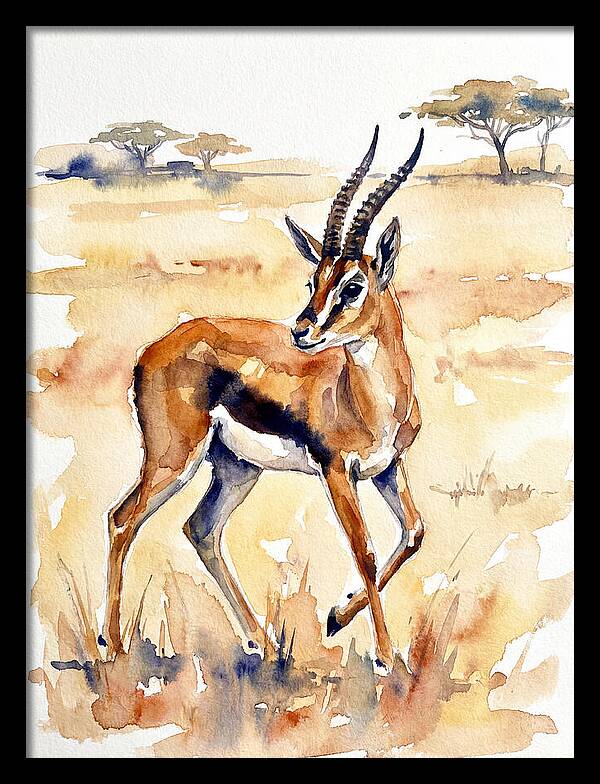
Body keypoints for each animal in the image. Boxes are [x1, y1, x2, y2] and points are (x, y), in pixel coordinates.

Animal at [104, 126, 426, 670]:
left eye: (352, 285)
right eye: (314, 279)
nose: (301, 331)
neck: (371, 400)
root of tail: (152, 349)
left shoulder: (386, 467)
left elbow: (414, 533)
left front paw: (336, 617)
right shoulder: (337, 471)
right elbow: (365, 551)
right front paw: (385, 656)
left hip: (236, 467)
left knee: (201, 529)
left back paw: (265, 642)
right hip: (173, 457)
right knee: (122, 519)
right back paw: (112, 646)